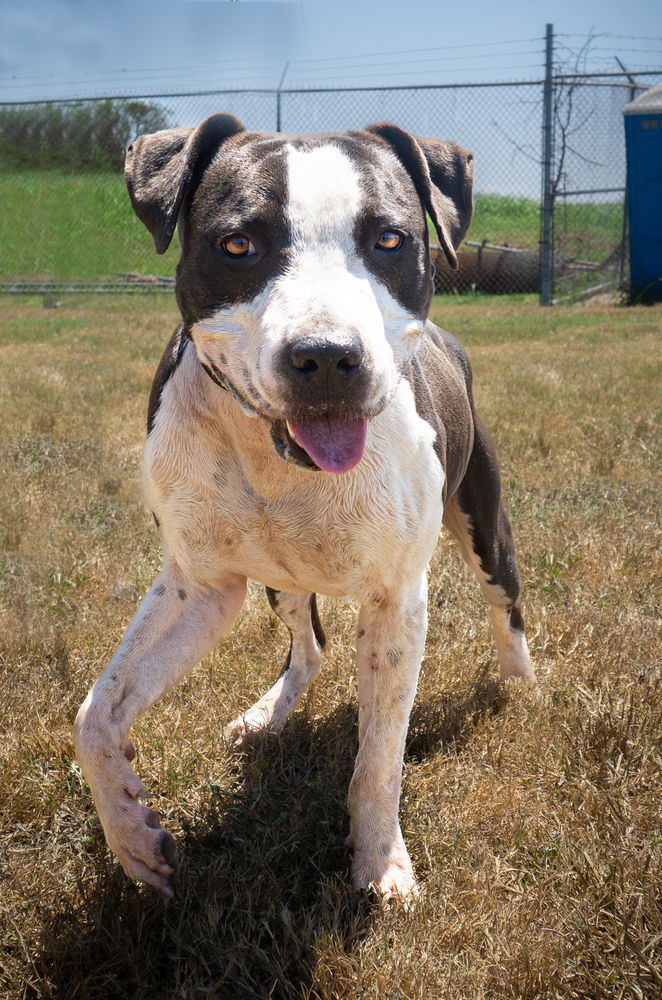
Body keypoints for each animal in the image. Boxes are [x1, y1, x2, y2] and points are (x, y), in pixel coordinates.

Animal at [72, 113, 536, 904]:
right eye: (237, 245)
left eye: (390, 239)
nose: (325, 357)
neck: (280, 463)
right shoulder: (200, 585)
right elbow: (95, 714)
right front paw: (133, 837)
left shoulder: (396, 600)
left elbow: (378, 761)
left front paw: (380, 863)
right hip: (279, 581)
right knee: (309, 644)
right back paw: (266, 716)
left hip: (484, 523)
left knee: (505, 601)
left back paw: (522, 688)